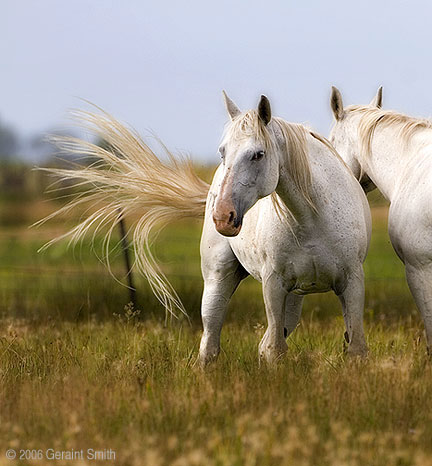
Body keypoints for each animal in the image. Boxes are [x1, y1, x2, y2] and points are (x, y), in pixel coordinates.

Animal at [40, 93, 370, 364]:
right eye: (223, 152)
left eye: (258, 154)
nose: (223, 216)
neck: (313, 217)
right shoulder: (273, 285)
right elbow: (274, 350)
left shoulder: (351, 283)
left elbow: (354, 349)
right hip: (218, 280)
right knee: (210, 344)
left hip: (294, 296)